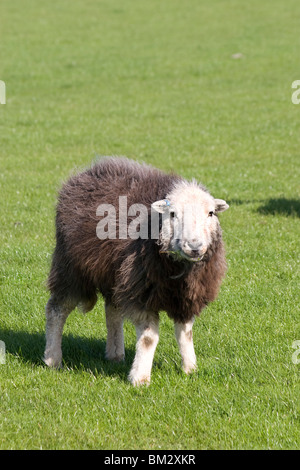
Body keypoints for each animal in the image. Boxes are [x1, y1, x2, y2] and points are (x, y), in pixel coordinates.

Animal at [43, 158, 229, 386]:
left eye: (211, 213)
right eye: (172, 213)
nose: (194, 246)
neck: (180, 271)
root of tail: (90, 170)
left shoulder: (186, 296)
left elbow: (186, 333)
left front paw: (190, 369)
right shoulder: (141, 292)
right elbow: (149, 338)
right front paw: (140, 378)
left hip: (115, 273)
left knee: (112, 311)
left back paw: (115, 354)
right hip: (71, 268)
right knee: (56, 309)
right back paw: (53, 359)